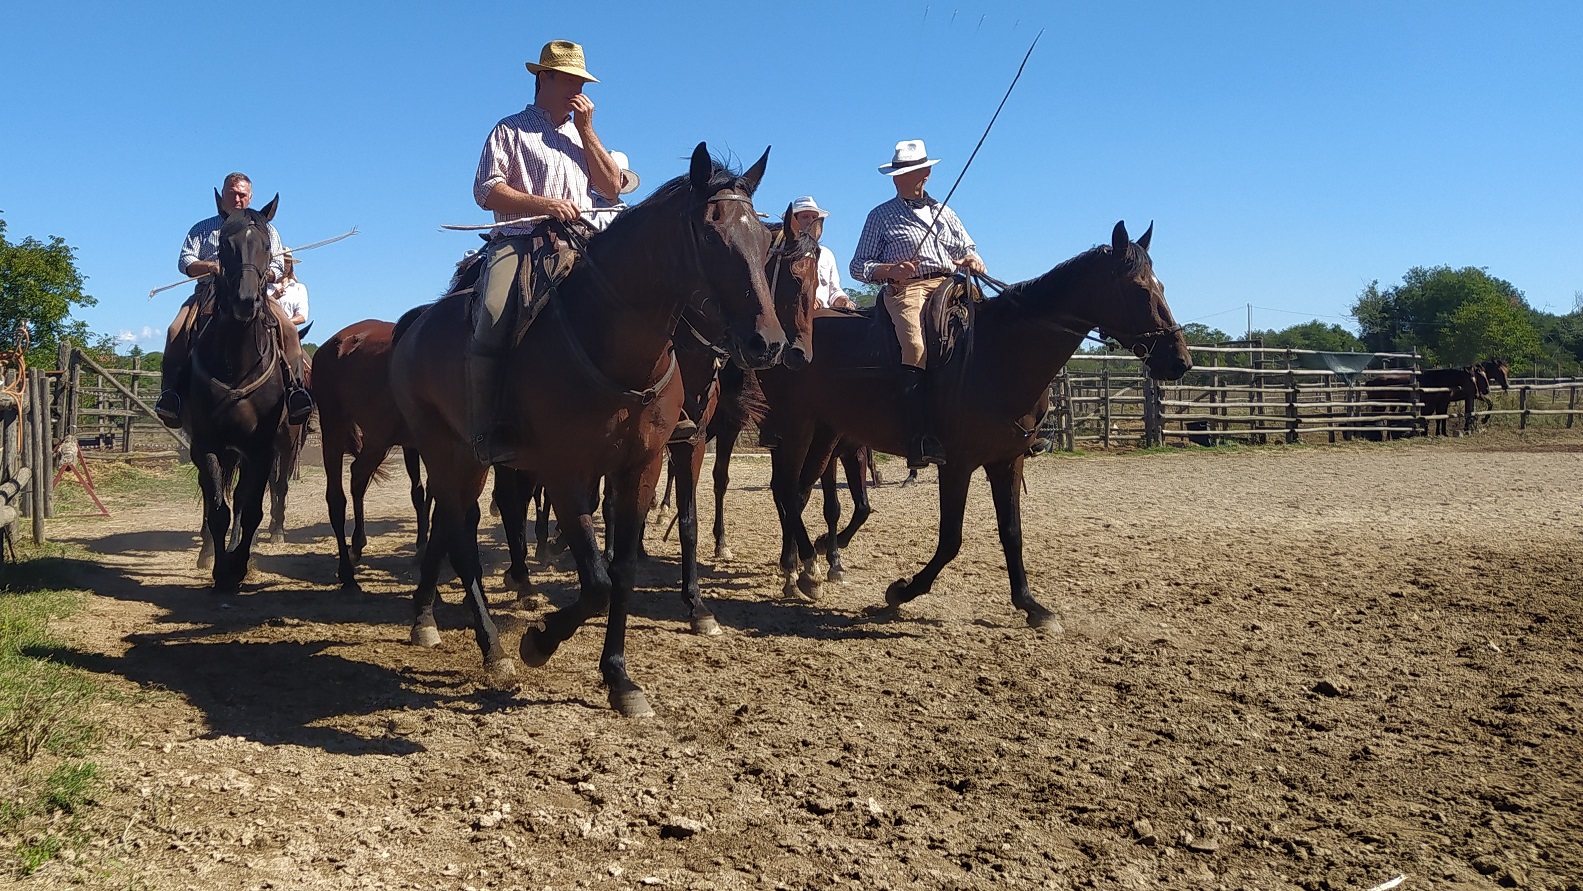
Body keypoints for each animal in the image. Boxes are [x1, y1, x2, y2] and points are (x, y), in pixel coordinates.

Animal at [183, 194, 294, 593]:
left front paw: (239, 566)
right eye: (224, 247)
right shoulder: (207, 445)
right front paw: (220, 570)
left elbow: (251, 511)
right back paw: (207, 552)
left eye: (266, 246)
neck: (237, 358)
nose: (246, 301)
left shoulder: (260, 449)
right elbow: (218, 508)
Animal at [313, 319, 430, 592]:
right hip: (339, 429)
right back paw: (347, 571)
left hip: (376, 438)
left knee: (358, 477)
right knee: (338, 496)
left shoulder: (413, 444)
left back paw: (357, 545)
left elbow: (419, 492)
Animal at [390, 144, 787, 717]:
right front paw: (538, 641)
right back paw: (493, 648)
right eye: (712, 236)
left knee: (451, 525)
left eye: (763, 239)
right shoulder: (564, 473)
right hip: (448, 453)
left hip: (468, 461)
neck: (610, 347)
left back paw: (433, 620)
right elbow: (596, 582)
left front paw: (619, 677)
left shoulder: (643, 466)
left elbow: (622, 572)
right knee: (461, 540)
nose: (767, 343)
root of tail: (415, 323)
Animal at [757, 221, 1192, 628]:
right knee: (787, 491)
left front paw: (1031, 605)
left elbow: (1012, 533)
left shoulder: (1007, 461)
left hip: (826, 433)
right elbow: (951, 539)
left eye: (1161, 285)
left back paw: (803, 567)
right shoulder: (958, 464)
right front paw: (902, 591)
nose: (1180, 360)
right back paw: (804, 570)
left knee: (799, 493)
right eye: (1139, 288)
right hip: (797, 429)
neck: (997, 356)